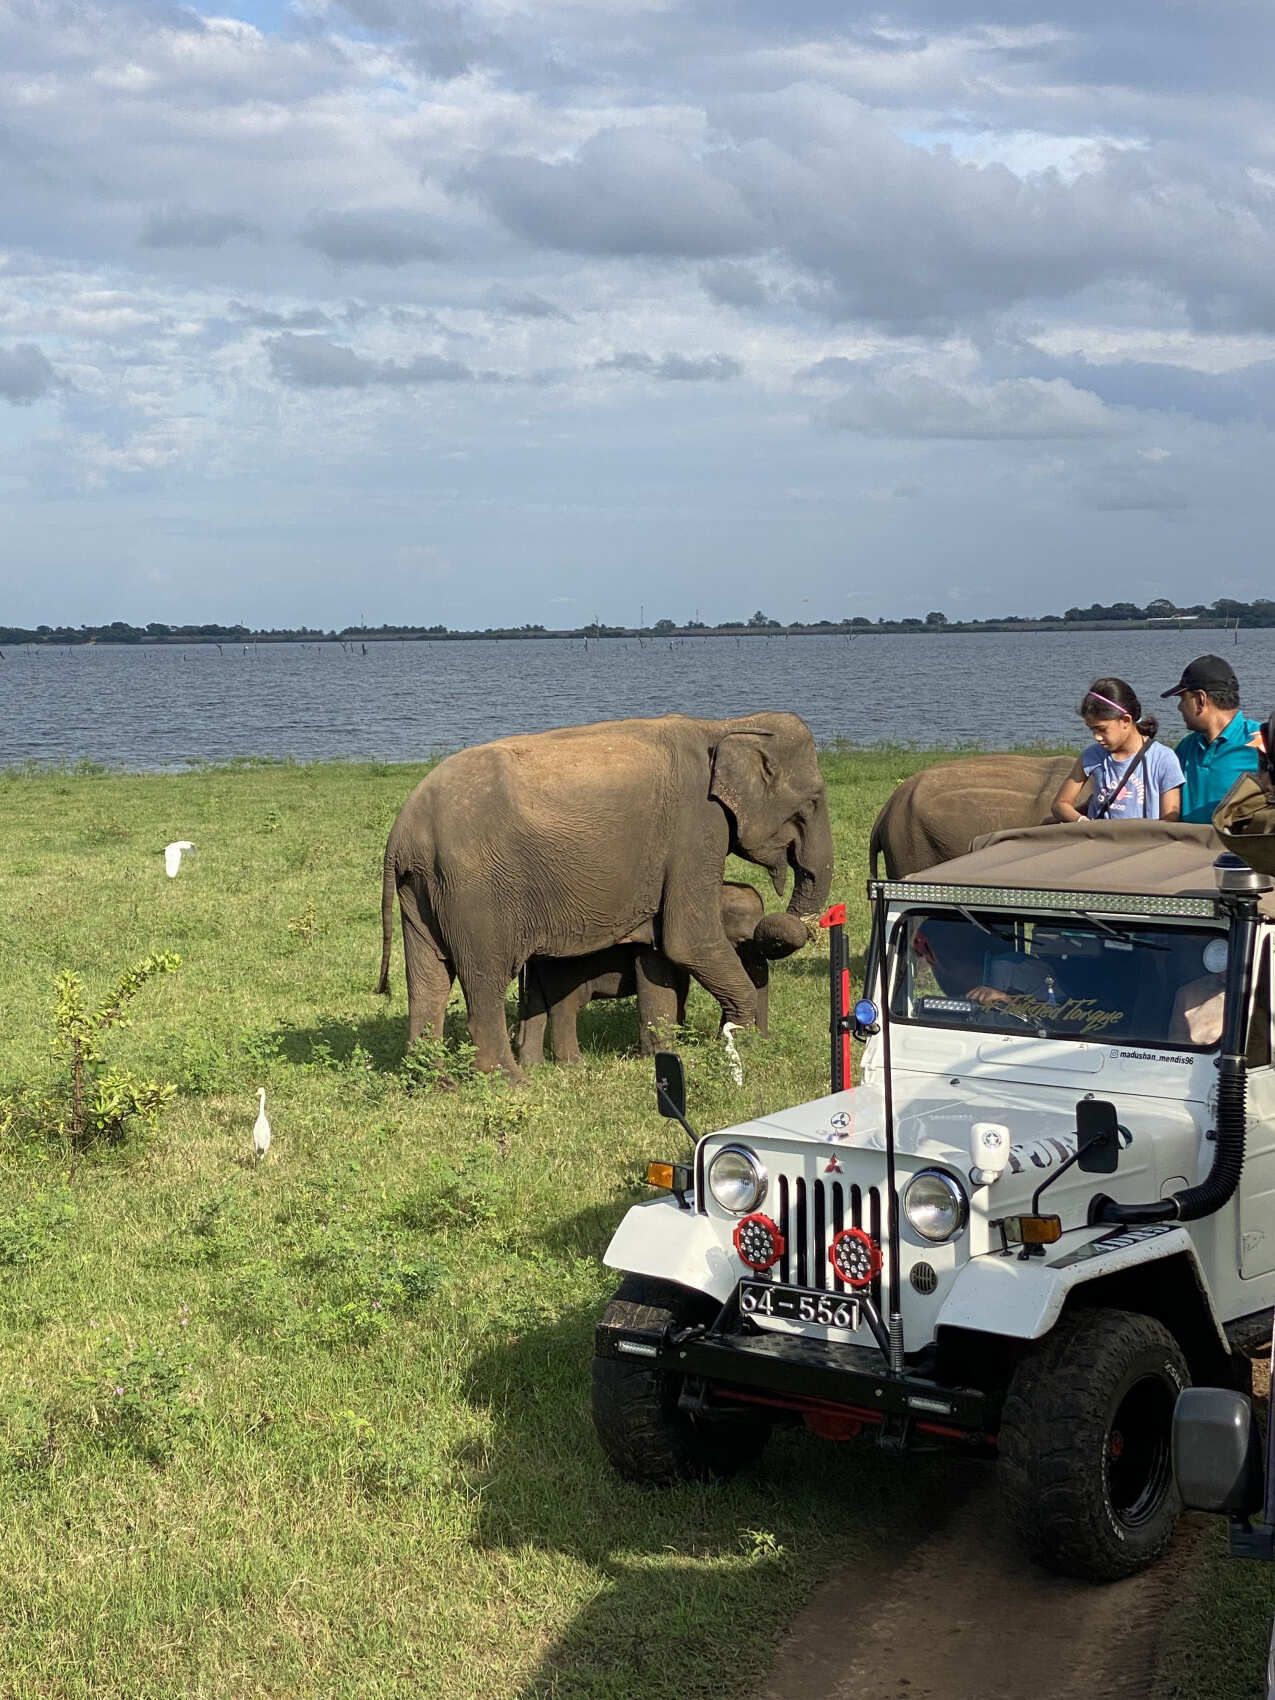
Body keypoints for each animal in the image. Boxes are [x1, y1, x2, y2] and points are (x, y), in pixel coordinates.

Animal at [377, 710, 839, 1081]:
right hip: (473, 888)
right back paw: (511, 1082)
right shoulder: (697, 827)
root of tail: (402, 833)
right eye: (813, 802)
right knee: (485, 977)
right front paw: (732, 1040)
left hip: (422, 887)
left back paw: (436, 1082)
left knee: (428, 980)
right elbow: (687, 940)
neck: (724, 725)